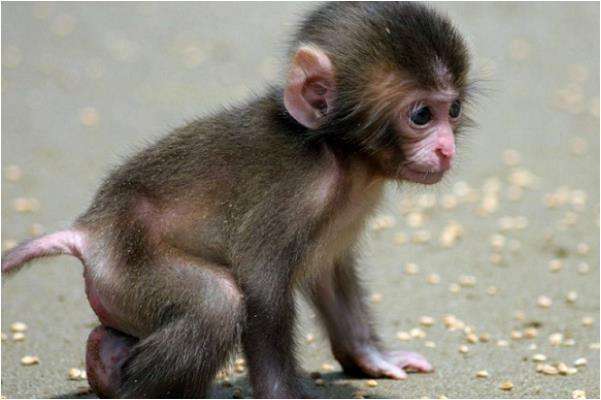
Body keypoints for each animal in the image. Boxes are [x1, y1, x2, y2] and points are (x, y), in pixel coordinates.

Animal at [3, 1, 474, 398]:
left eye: (452, 110)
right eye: (421, 115)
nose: (446, 149)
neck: (340, 154)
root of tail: (89, 231)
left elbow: (328, 273)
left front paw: (371, 357)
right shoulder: (296, 195)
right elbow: (261, 284)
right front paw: (282, 394)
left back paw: (103, 358)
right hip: (128, 263)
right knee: (217, 303)